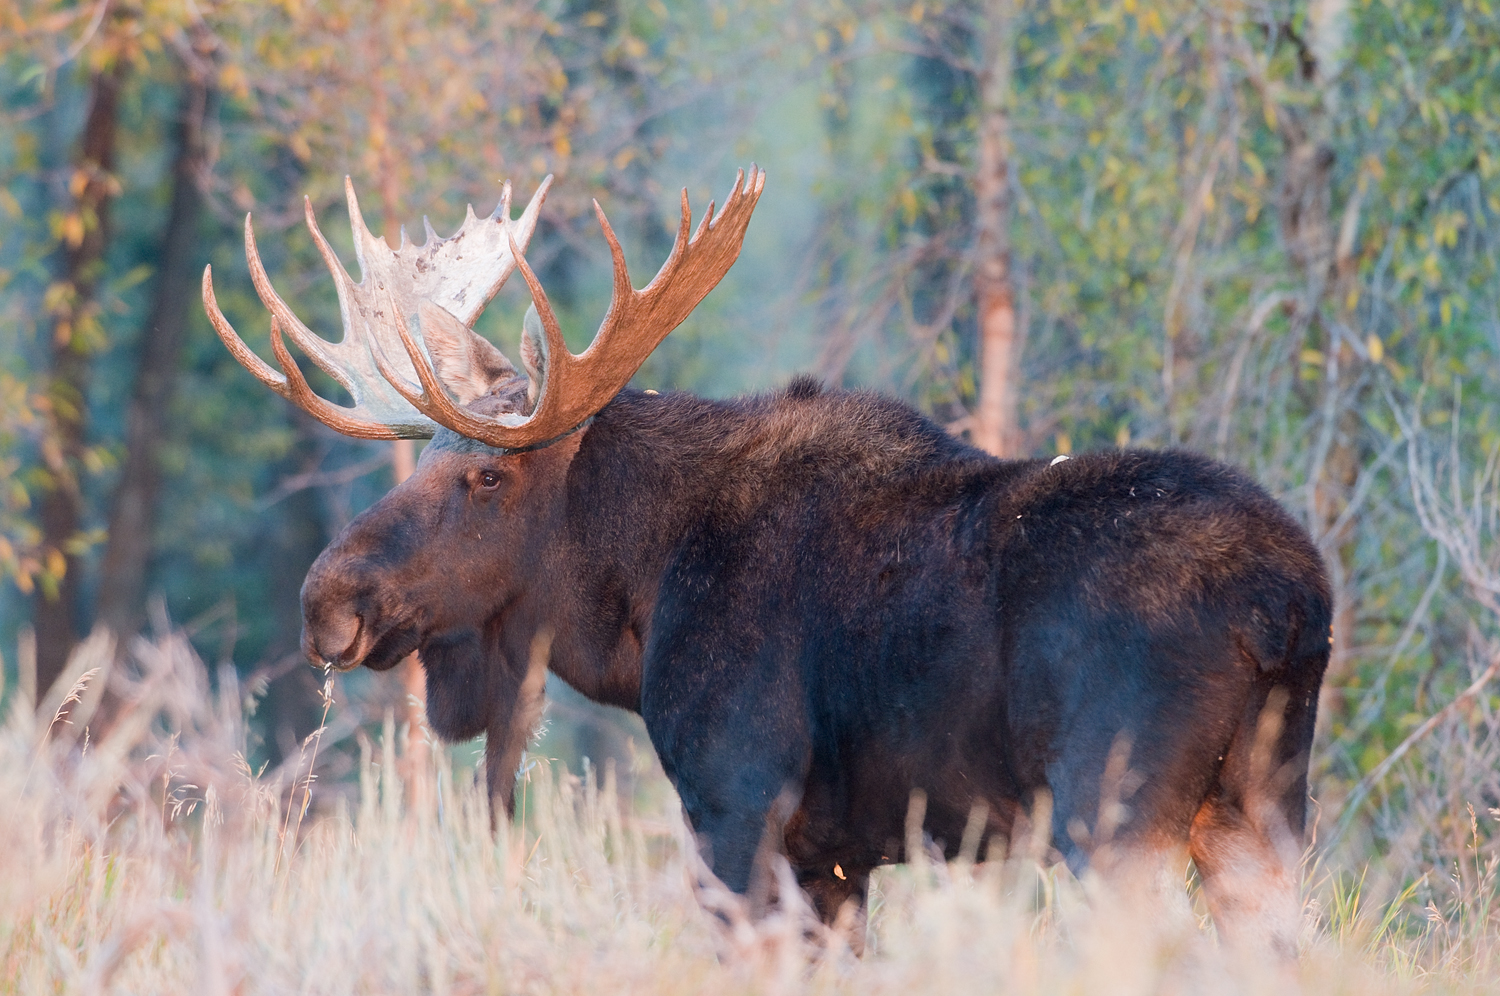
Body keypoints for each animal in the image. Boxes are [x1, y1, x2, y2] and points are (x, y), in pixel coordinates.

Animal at [199, 167, 1326, 954]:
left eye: (487, 476)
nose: (328, 598)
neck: (639, 599)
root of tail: (1289, 601)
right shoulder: (841, 855)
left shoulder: (739, 803)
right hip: (1259, 812)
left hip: (1115, 811)